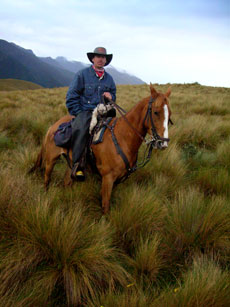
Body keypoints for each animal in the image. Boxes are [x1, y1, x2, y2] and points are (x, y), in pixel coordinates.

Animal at [32, 84, 172, 214]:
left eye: (169, 115)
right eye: (156, 112)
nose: (163, 143)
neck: (122, 137)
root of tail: (53, 126)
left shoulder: (115, 181)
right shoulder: (107, 178)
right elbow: (105, 206)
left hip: (70, 162)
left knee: (67, 181)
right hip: (51, 160)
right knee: (47, 179)